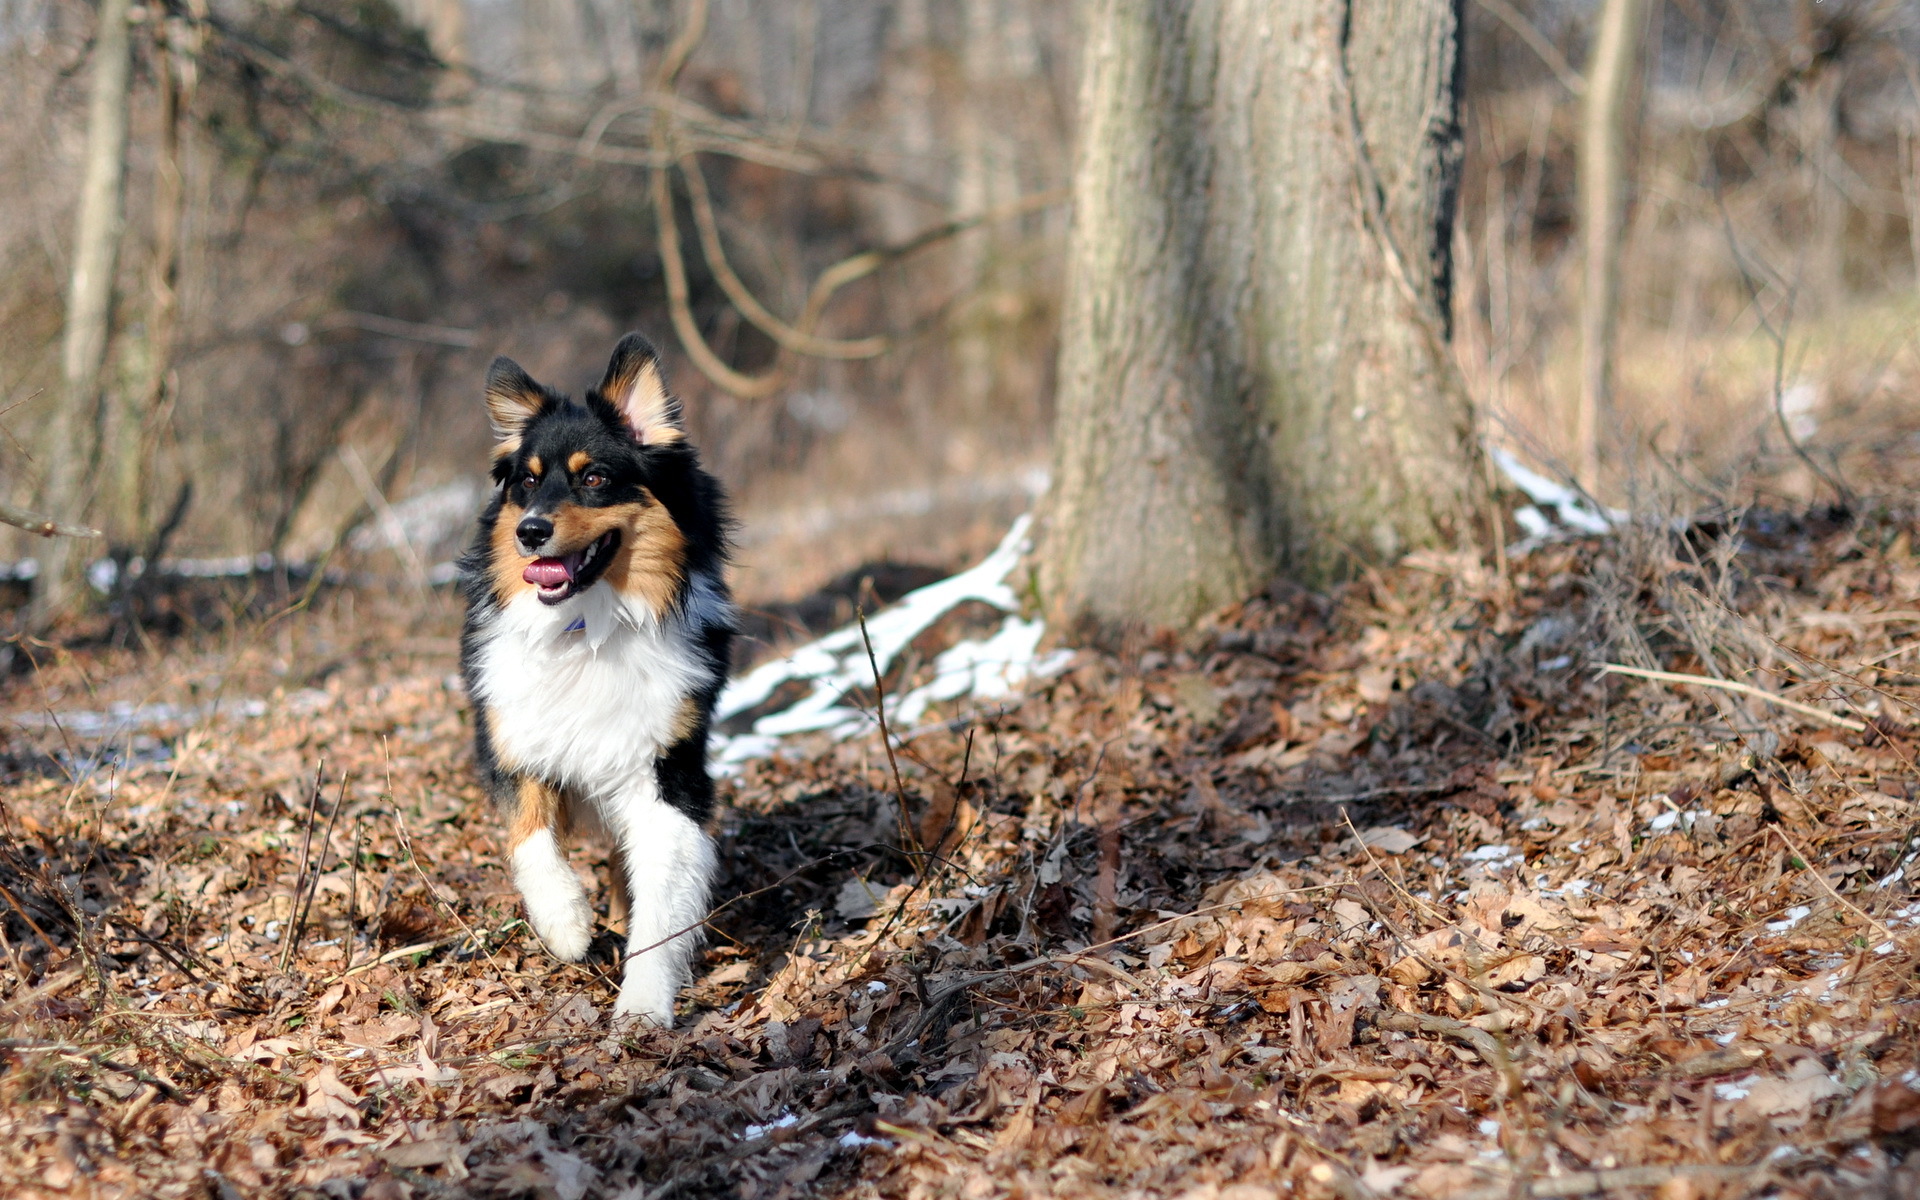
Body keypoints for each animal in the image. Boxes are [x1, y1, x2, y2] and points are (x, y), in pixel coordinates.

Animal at [456, 332, 733, 1021]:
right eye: (527, 483)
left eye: (595, 478)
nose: (530, 532)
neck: (586, 629)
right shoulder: (514, 744)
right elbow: (530, 839)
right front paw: (567, 925)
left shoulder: (665, 769)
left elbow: (661, 900)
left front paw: (642, 1008)